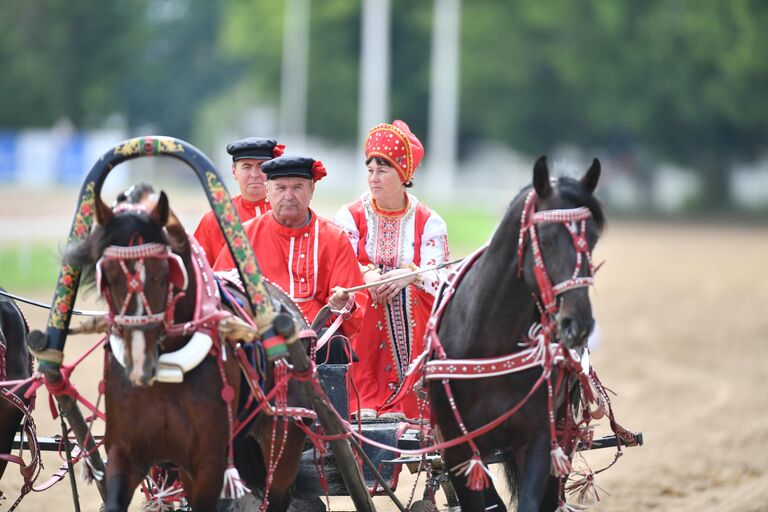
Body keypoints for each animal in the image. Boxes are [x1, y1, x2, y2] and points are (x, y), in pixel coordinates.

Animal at [63, 193, 308, 512]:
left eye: (163, 272)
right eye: (109, 275)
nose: (140, 363)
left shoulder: (209, 463)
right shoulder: (125, 452)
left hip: (284, 437)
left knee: (278, 491)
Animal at [428, 157, 604, 512]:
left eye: (592, 239)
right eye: (546, 239)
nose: (577, 323)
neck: (491, 345)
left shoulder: (538, 439)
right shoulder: (457, 448)